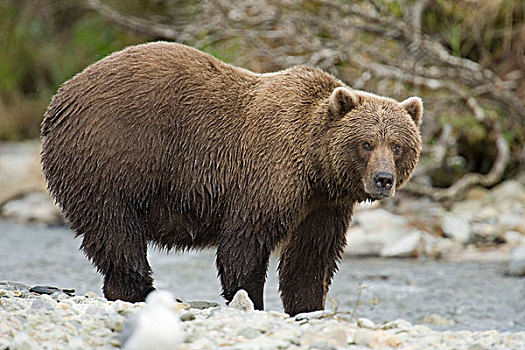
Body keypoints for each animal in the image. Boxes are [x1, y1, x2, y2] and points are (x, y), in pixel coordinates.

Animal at [42, 40, 422, 314]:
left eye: (397, 145)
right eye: (366, 142)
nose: (383, 179)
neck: (315, 167)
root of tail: (63, 94)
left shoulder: (324, 204)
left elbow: (311, 256)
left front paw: (308, 306)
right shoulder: (266, 173)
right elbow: (245, 243)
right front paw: (250, 299)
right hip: (113, 157)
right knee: (116, 228)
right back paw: (143, 290)